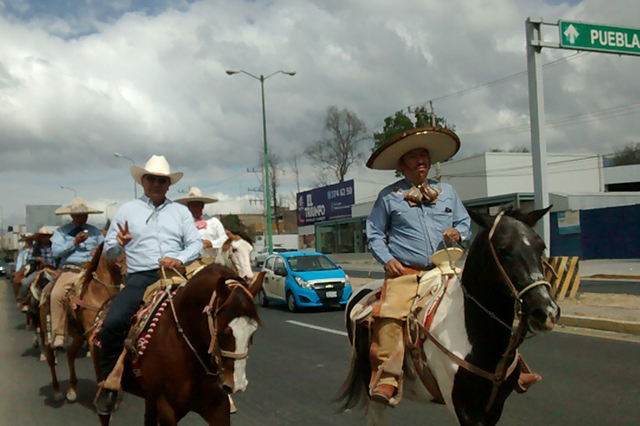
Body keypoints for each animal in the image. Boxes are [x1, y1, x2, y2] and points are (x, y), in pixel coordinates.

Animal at [340, 207, 560, 426]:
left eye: (541, 246)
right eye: (503, 249)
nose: (546, 311)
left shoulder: (494, 408)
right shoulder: (463, 409)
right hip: (372, 387)